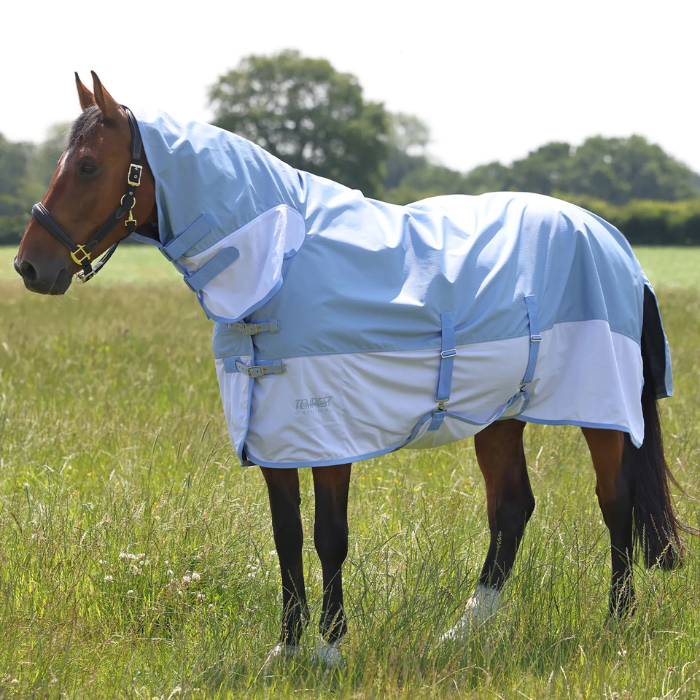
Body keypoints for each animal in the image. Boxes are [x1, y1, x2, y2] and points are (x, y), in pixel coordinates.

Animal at [15, 72, 691, 667]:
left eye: (88, 165)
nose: (28, 266)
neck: (282, 262)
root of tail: (613, 240)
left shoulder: (329, 432)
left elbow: (328, 536)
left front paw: (331, 646)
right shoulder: (275, 434)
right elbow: (287, 535)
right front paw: (286, 647)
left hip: (602, 410)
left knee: (615, 501)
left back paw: (616, 622)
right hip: (499, 413)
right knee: (511, 509)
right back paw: (463, 632)